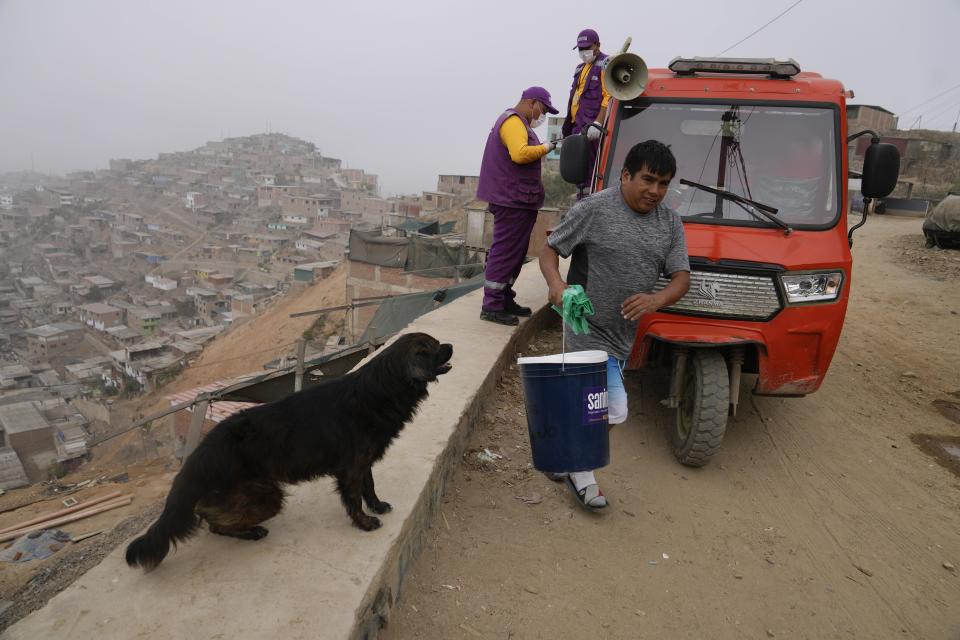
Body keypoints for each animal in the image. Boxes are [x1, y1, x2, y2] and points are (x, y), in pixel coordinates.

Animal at [125, 332, 452, 572]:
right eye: (432, 348)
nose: (450, 345)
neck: (380, 389)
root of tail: (200, 456)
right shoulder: (350, 469)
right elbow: (354, 500)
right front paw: (364, 522)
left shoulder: (363, 463)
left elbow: (369, 488)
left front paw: (378, 505)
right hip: (266, 496)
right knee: (213, 522)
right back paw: (251, 531)